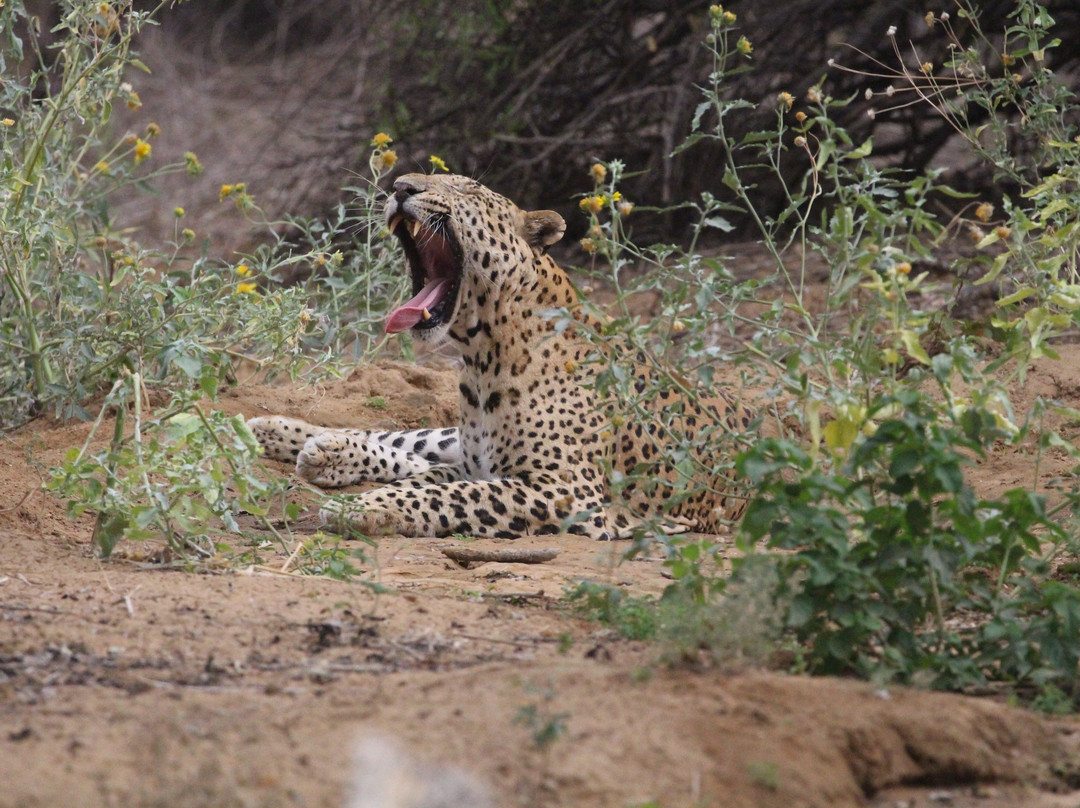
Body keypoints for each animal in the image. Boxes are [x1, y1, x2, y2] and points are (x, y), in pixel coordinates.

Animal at [248, 173, 758, 541]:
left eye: (466, 188)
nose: (400, 187)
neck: (484, 358)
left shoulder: (568, 490)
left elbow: (454, 495)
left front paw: (359, 508)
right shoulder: (492, 464)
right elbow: (431, 480)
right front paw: (360, 498)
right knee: (418, 443)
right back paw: (285, 435)